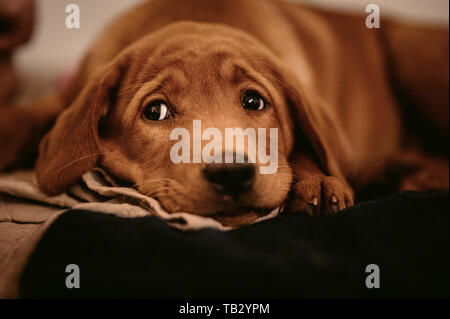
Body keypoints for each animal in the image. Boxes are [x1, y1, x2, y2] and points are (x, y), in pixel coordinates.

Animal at [0, 0, 448, 225]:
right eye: (156, 111)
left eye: (254, 102)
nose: (231, 173)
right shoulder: (70, 92)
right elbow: (33, 115)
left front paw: (316, 180)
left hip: (414, 54)